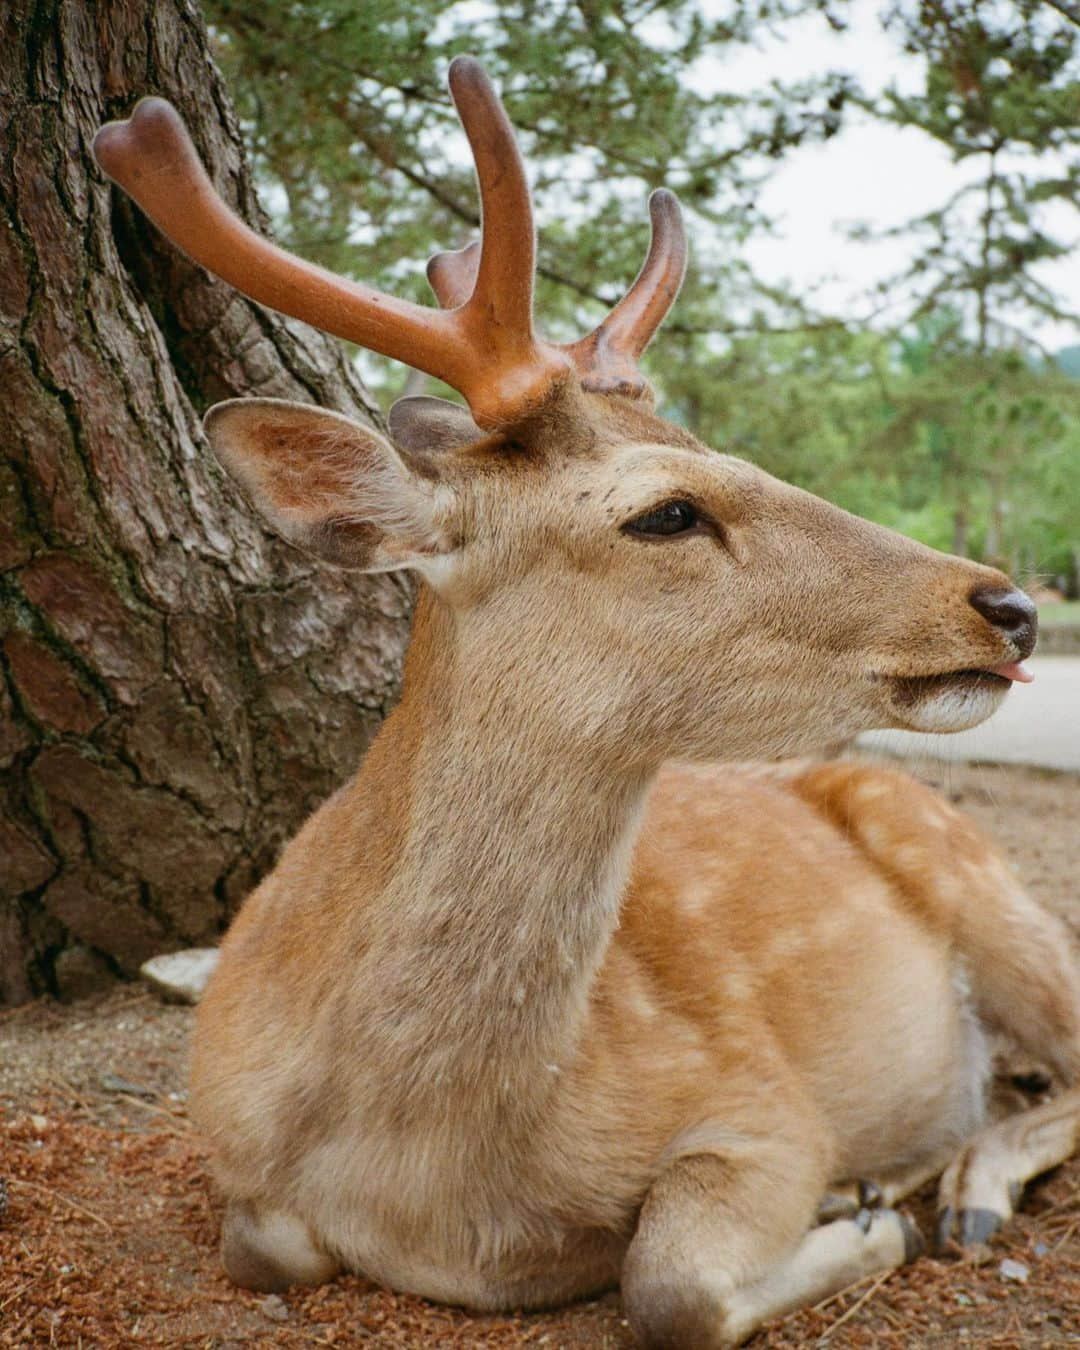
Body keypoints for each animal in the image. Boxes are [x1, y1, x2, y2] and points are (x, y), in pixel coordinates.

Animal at [95, 58, 1080, 1344]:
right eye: (665, 509)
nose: (1007, 607)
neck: (438, 1169)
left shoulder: (763, 1103)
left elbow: (670, 1285)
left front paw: (866, 1215)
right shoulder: (230, 1145)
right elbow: (264, 1247)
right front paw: (870, 1205)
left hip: (991, 889)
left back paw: (956, 1194)